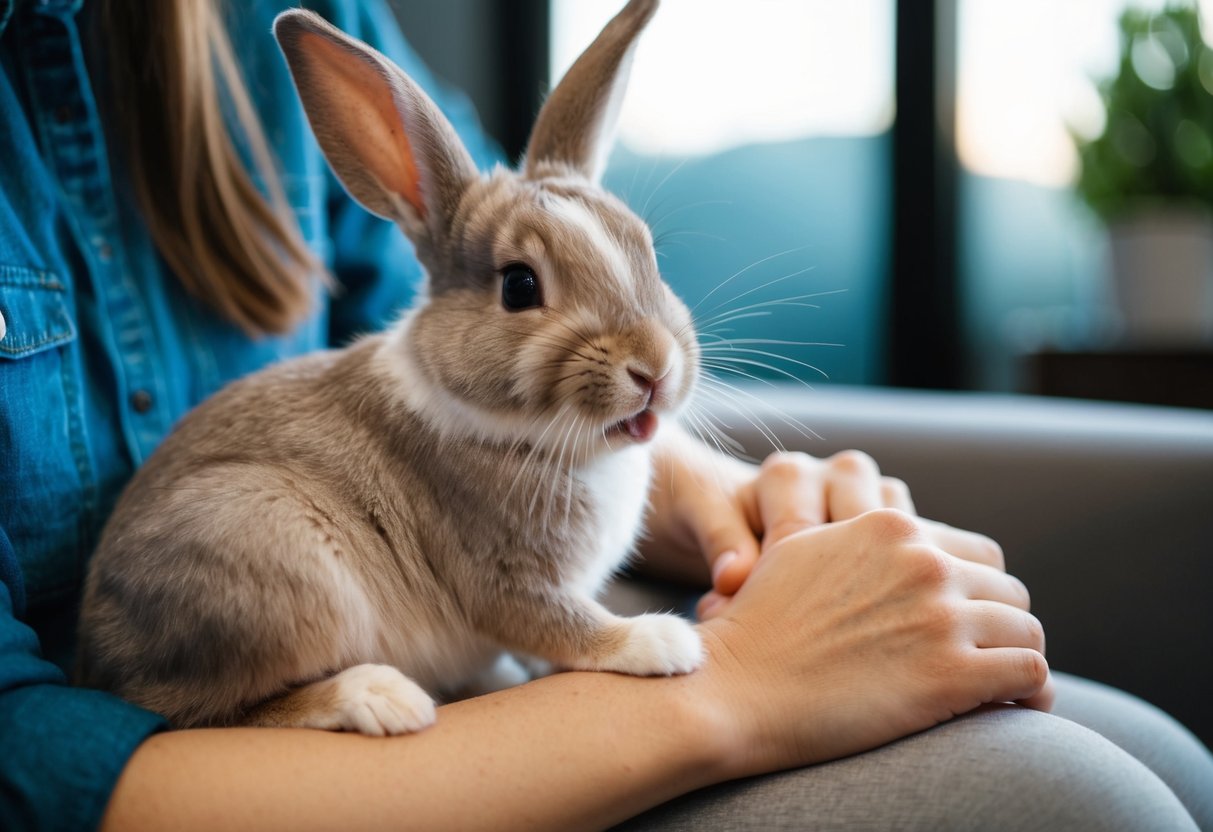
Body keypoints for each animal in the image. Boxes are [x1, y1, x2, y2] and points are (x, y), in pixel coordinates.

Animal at [76, 0, 703, 737]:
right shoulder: (505, 578)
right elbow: (562, 626)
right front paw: (660, 641)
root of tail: (98, 656)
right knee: (206, 715)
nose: (654, 368)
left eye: (646, 251)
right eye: (519, 286)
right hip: (273, 562)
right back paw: (378, 697)